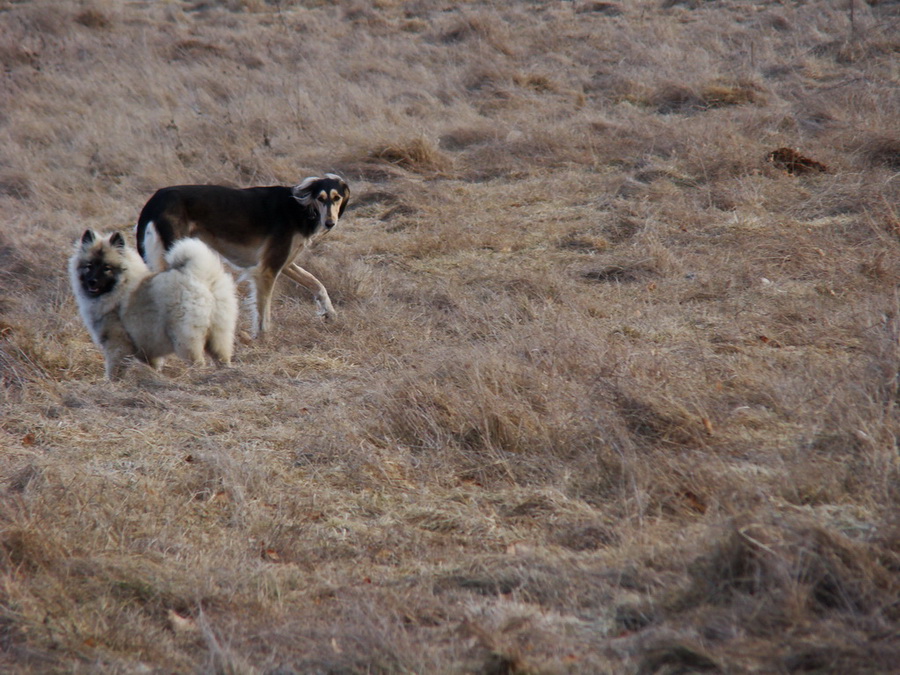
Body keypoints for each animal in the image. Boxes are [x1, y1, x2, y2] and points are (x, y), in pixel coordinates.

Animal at [135, 172, 350, 336]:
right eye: (320, 198)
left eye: (337, 198)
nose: (330, 223)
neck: (300, 207)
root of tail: (154, 201)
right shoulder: (267, 269)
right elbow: (263, 313)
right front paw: (263, 340)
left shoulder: (284, 263)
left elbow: (316, 283)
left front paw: (330, 312)